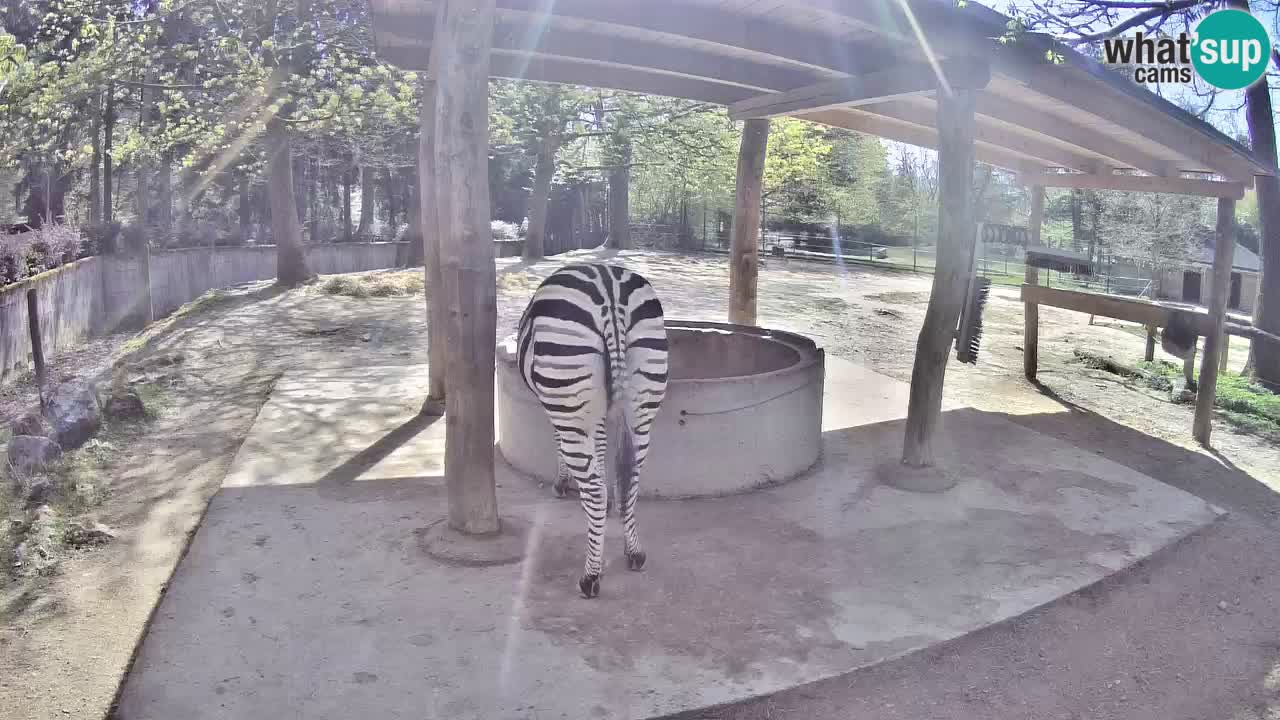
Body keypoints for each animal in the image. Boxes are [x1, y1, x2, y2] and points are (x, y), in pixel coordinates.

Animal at [516, 263, 669, 599]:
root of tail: (610, 292)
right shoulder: (595, 413)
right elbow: (600, 447)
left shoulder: (564, 411)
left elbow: (560, 444)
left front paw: (562, 483)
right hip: (643, 403)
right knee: (631, 481)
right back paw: (634, 553)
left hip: (569, 397)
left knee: (595, 493)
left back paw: (590, 578)